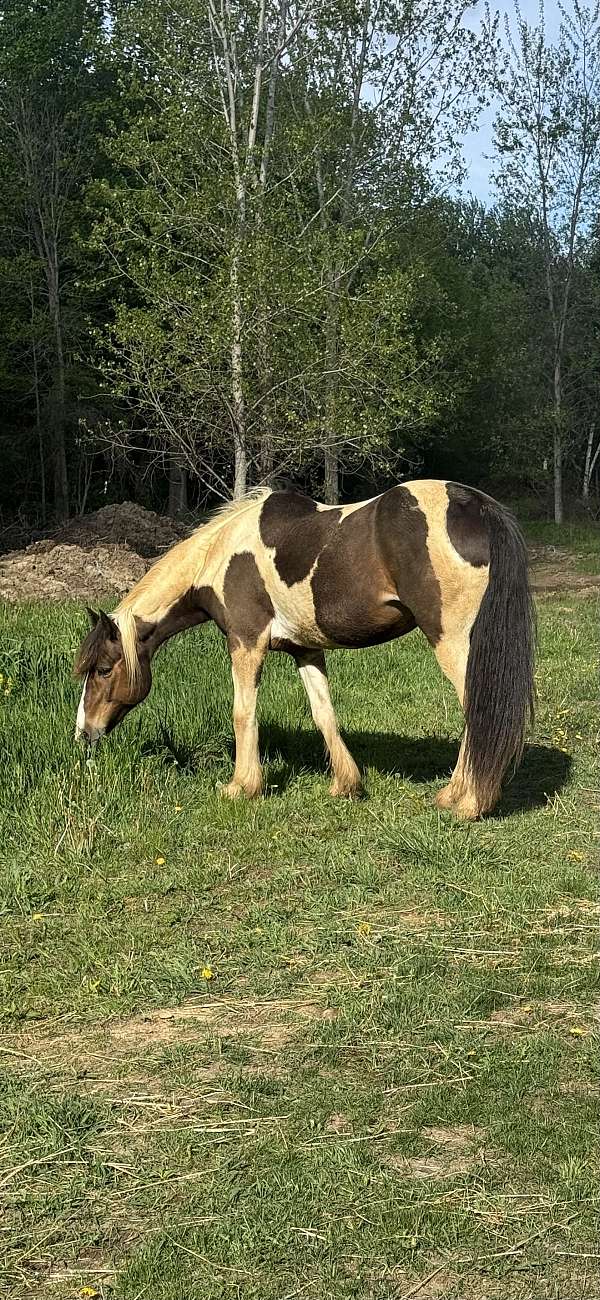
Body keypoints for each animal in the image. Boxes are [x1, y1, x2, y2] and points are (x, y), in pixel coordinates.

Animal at [74, 480, 535, 820]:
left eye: (103, 669)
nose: (84, 732)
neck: (220, 556)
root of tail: (476, 505)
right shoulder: (305, 650)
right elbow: (323, 713)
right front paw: (345, 784)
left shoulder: (245, 643)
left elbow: (243, 713)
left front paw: (241, 787)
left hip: (454, 644)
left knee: (478, 710)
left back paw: (465, 801)